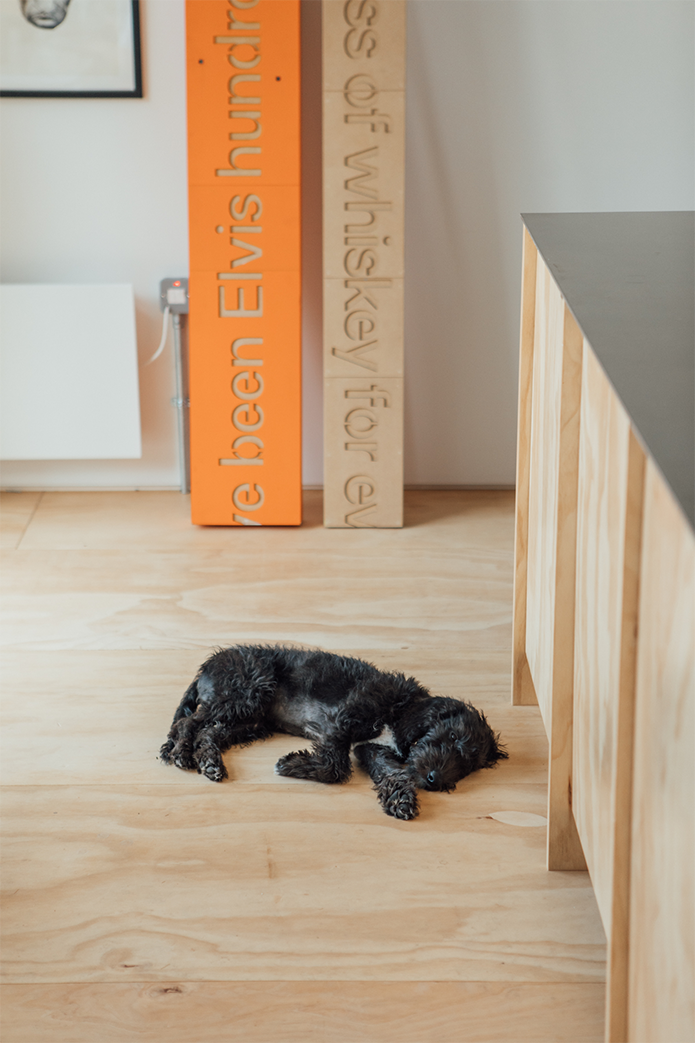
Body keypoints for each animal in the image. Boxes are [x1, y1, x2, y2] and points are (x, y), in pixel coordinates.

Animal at [159, 642, 507, 821]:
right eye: (452, 737)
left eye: (468, 764)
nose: (435, 780)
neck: (402, 709)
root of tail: (209, 664)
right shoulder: (342, 721)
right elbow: (335, 767)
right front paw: (293, 763)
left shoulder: (374, 751)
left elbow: (395, 775)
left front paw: (401, 800)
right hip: (245, 693)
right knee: (188, 723)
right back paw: (181, 754)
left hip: (250, 721)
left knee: (209, 733)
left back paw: (210, 763)